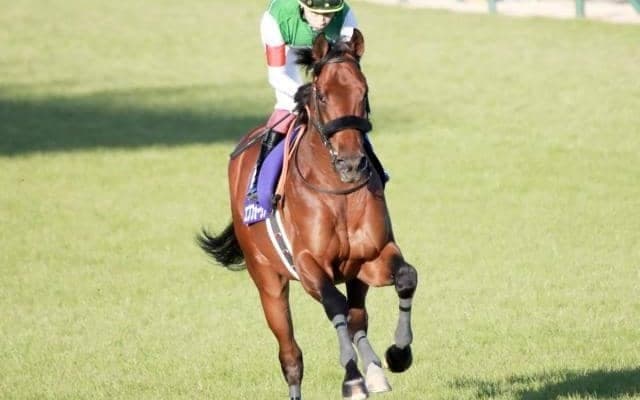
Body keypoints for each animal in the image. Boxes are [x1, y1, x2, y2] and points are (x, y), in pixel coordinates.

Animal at [198, 29, 418, 400]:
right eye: (323, 96)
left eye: (363, 91)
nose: (352, 164)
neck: (338, 191)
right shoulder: (308, 265)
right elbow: (334, 305)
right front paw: (352, 379)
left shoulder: (371, 257)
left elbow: (405, 278)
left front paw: (398, 354)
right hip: (268, 282)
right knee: (291, 356)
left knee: (358, 318)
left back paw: (375, 370)